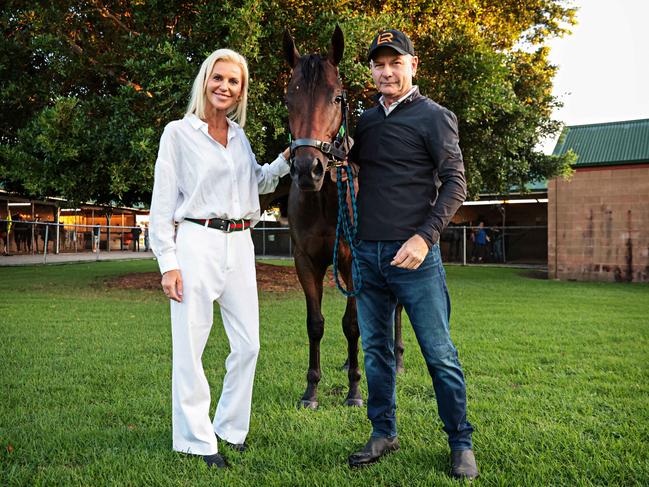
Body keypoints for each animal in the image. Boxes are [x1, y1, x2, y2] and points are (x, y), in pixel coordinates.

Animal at [284, 24, 404, 410]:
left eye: (337, 98)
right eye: (288, 100)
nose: (308, 169)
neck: (325, 198)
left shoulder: (355, 262)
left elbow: (352, 325)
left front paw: (354, 391)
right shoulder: (306, 262)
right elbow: (316, 323)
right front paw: (311, 391)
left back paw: (396, 360)